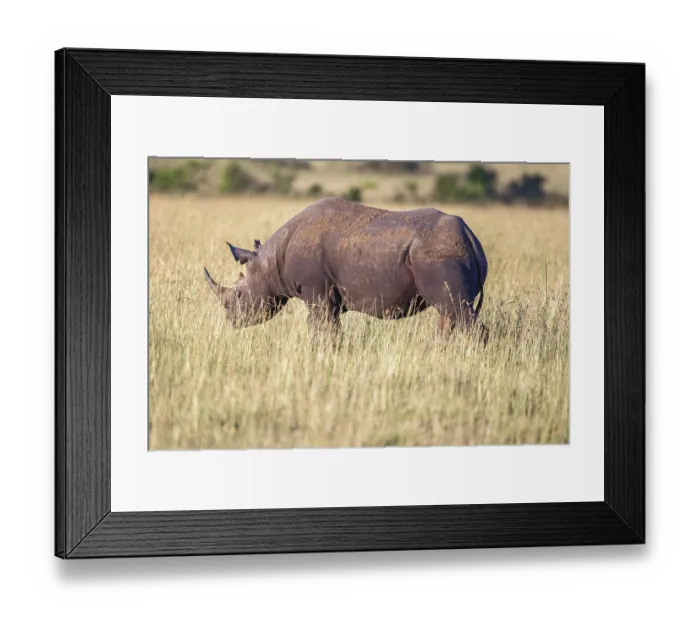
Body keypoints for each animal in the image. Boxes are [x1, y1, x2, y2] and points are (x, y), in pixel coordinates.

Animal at [204, 197, 489, 342]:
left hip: (439, 255)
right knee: (448, 313)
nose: (231, 322)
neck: (269, 263)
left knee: (455, 310)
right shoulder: (327, 295)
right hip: (446, 251)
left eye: (239, 296)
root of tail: (470, 238)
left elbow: (321, 328)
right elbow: (328, 328)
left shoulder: (316, 290)